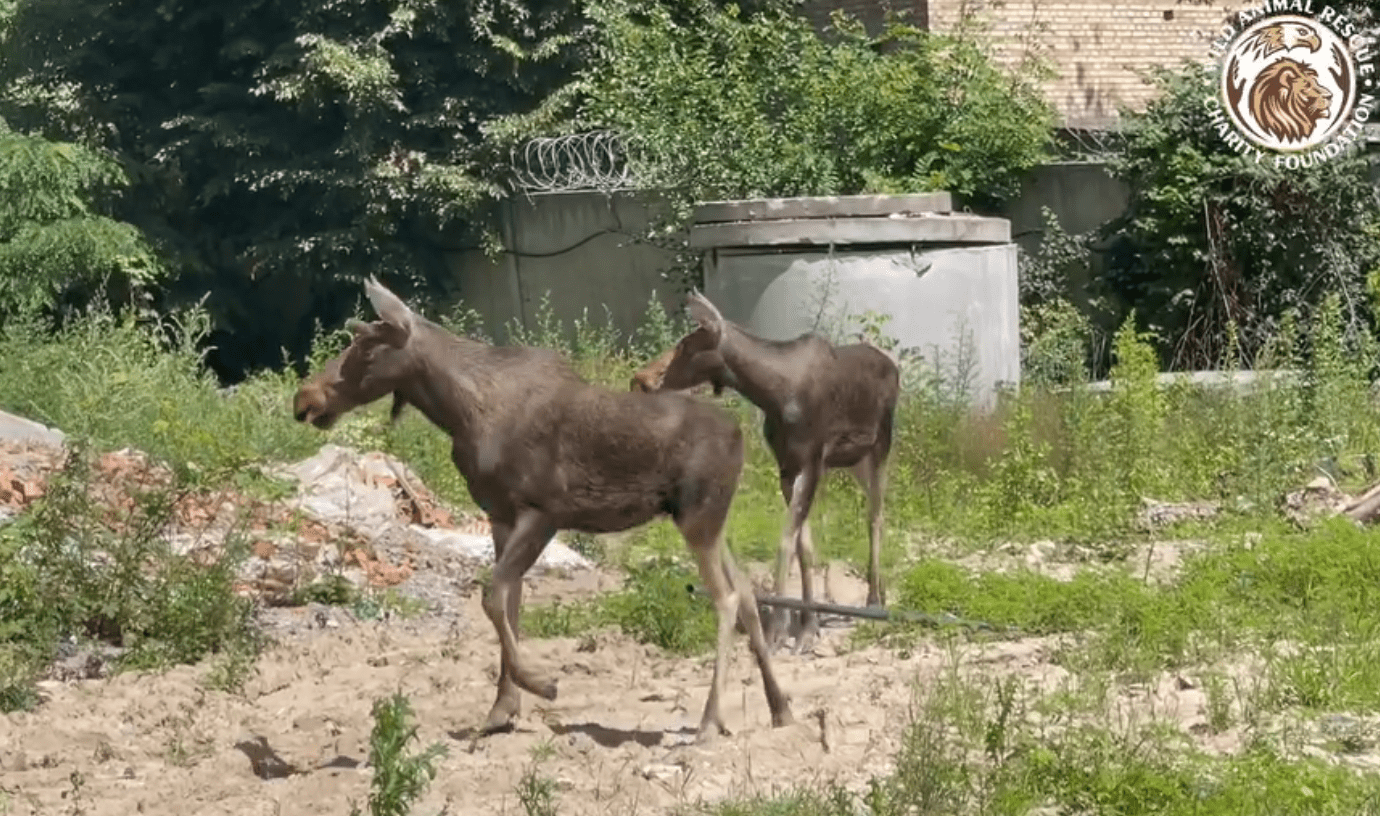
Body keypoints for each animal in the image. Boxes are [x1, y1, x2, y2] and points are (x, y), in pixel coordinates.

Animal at [296, 278, 794, 740]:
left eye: (365, 344)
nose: (305, 398)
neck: (458, 412)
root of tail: (742, 438)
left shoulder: (543, 512)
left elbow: (492, 596)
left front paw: (539, 685)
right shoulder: (500, 517)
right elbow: (510, 603)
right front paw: (501, 710)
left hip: (698, 519)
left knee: (726, 598)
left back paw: (710, 720)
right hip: (709, 521)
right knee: (748, 591)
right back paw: (780, 707)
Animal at [632, 289, 899, 654]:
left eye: (685, 344)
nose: (642, 379)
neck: (773, 394)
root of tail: (893, 366)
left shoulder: (812, 461)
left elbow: (786, 542)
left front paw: (783, 630)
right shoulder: (787, 466)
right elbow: (804, 545)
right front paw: (806, 624)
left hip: (880, 447)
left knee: (876, 516)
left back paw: (874, 599)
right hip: (853, 461)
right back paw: (878, 591)